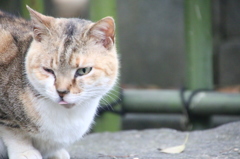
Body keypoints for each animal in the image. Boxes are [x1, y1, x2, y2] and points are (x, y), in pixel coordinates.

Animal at [0, 5, 118, 158]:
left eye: (83, 71)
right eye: (48, 70)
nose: (61, 92)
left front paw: (56, 152)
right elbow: (13, 132)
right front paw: (25, 152)